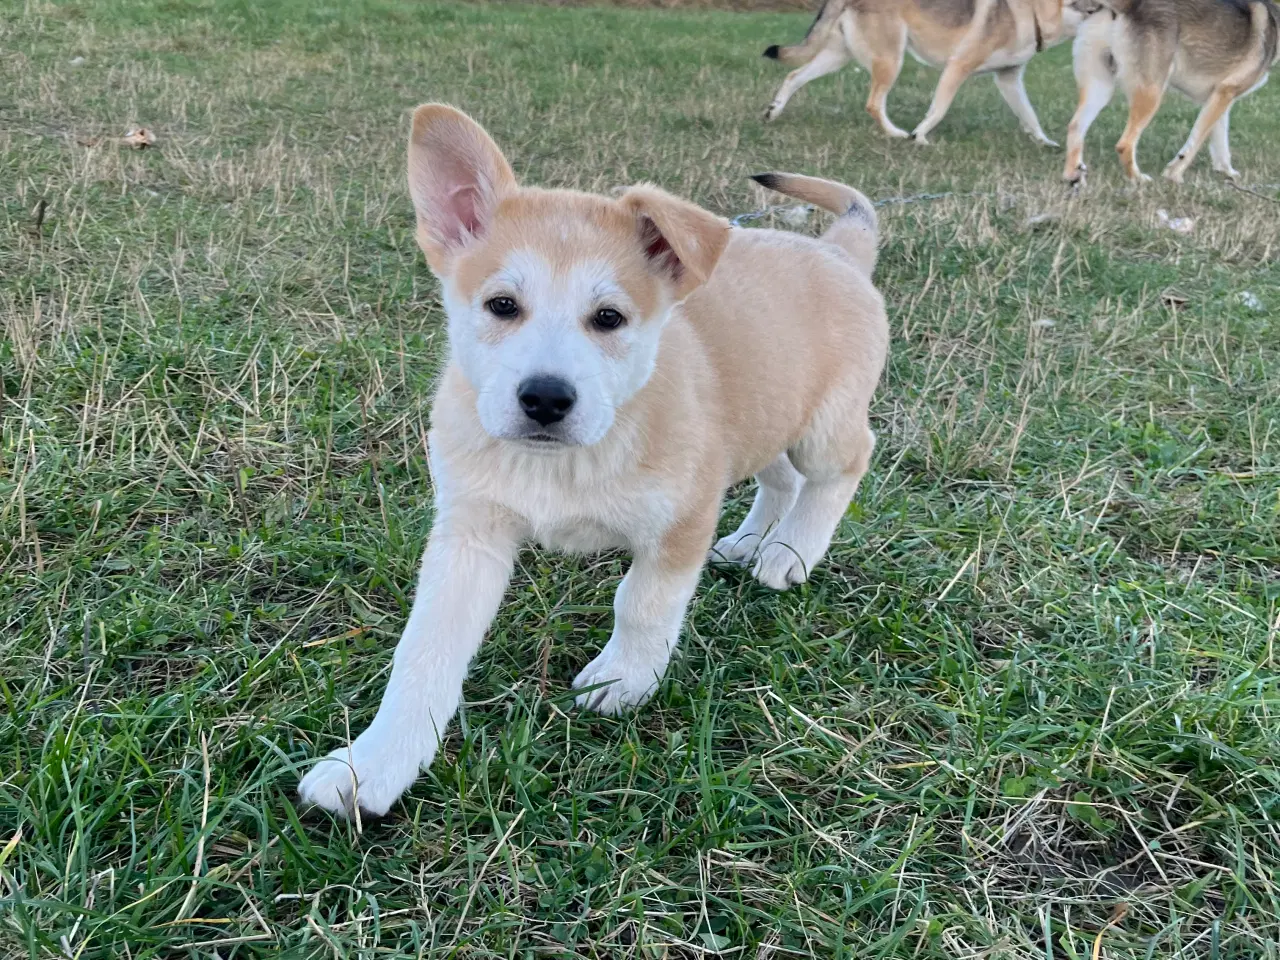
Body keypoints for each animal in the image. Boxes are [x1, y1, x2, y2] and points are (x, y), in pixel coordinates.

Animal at [757, 0, 1090, 144]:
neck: (1033, 12)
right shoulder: (958, 67)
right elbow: (937, 111)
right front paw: (919, 136)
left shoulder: (1010, 79)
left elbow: (1030, 117)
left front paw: (1046, 143)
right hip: (891, 60)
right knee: (873, 104)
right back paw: (896, 133)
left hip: (838, 56)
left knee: (793, 76)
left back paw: (773, 112)